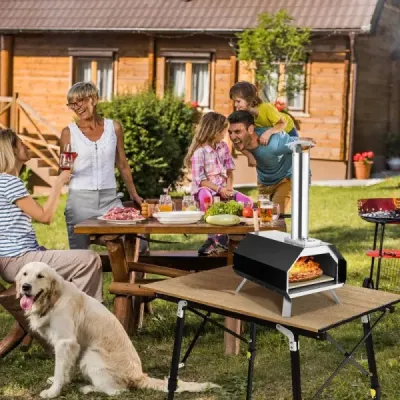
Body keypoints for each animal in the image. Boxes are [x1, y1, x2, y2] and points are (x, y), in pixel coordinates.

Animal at [16, 260, 219, 398]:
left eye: (40, 276)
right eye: (25, 274)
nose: (25, 287)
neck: (52, 300)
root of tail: (139, 376)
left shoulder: (65, 342)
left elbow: (60, 369)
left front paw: (52, 391)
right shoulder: (70, 346)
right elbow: (64, 368)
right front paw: (59, 381)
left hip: (90, 356)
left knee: (118, 391)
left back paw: (88, 388)